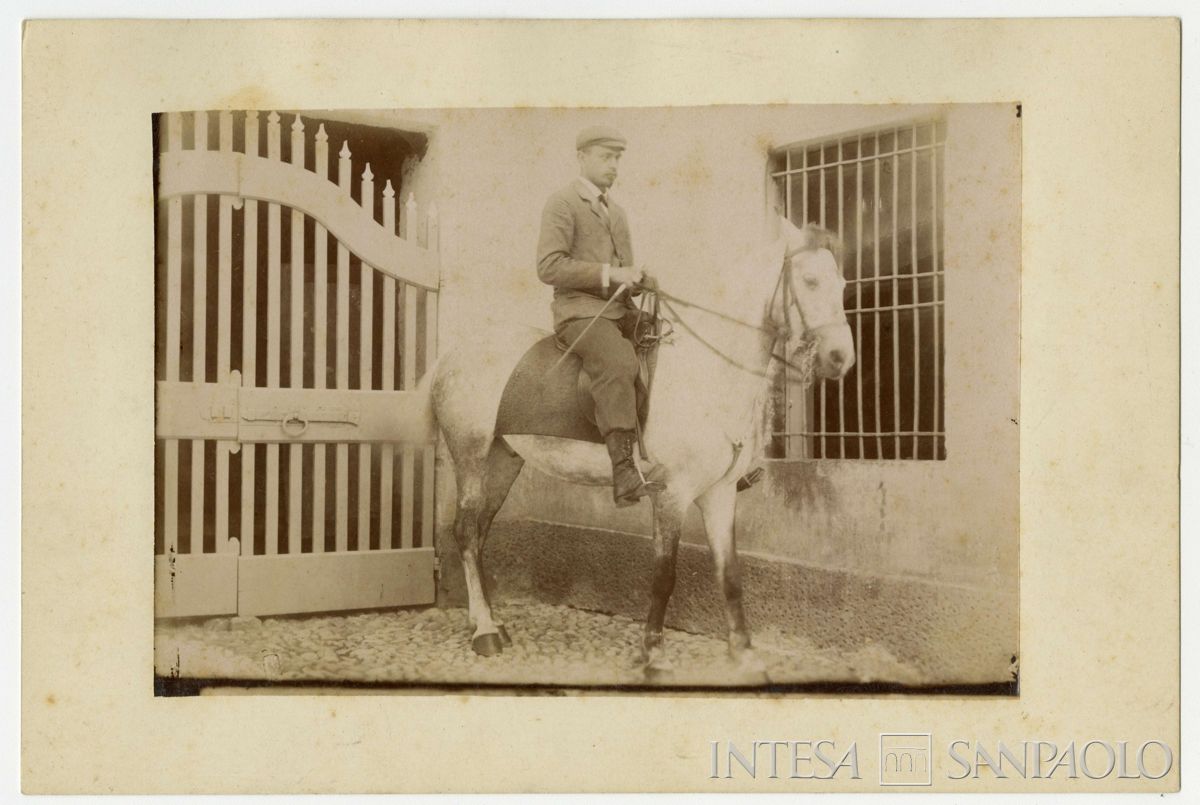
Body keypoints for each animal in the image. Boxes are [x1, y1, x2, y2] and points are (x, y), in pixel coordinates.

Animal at [428, 218, 855, 679]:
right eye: (810, 281)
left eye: (843, 284)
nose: (841, 358)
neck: (707, 373)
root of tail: (453, 354)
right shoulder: (671, 494)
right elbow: (664, 576)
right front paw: (654, 656)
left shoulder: (719, 494)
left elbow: (729, 574)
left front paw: (745, 656)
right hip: (470, 454)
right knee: (465, 530)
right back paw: (485, 631)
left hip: (505, 459)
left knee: (481, 530)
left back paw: (485, 618)